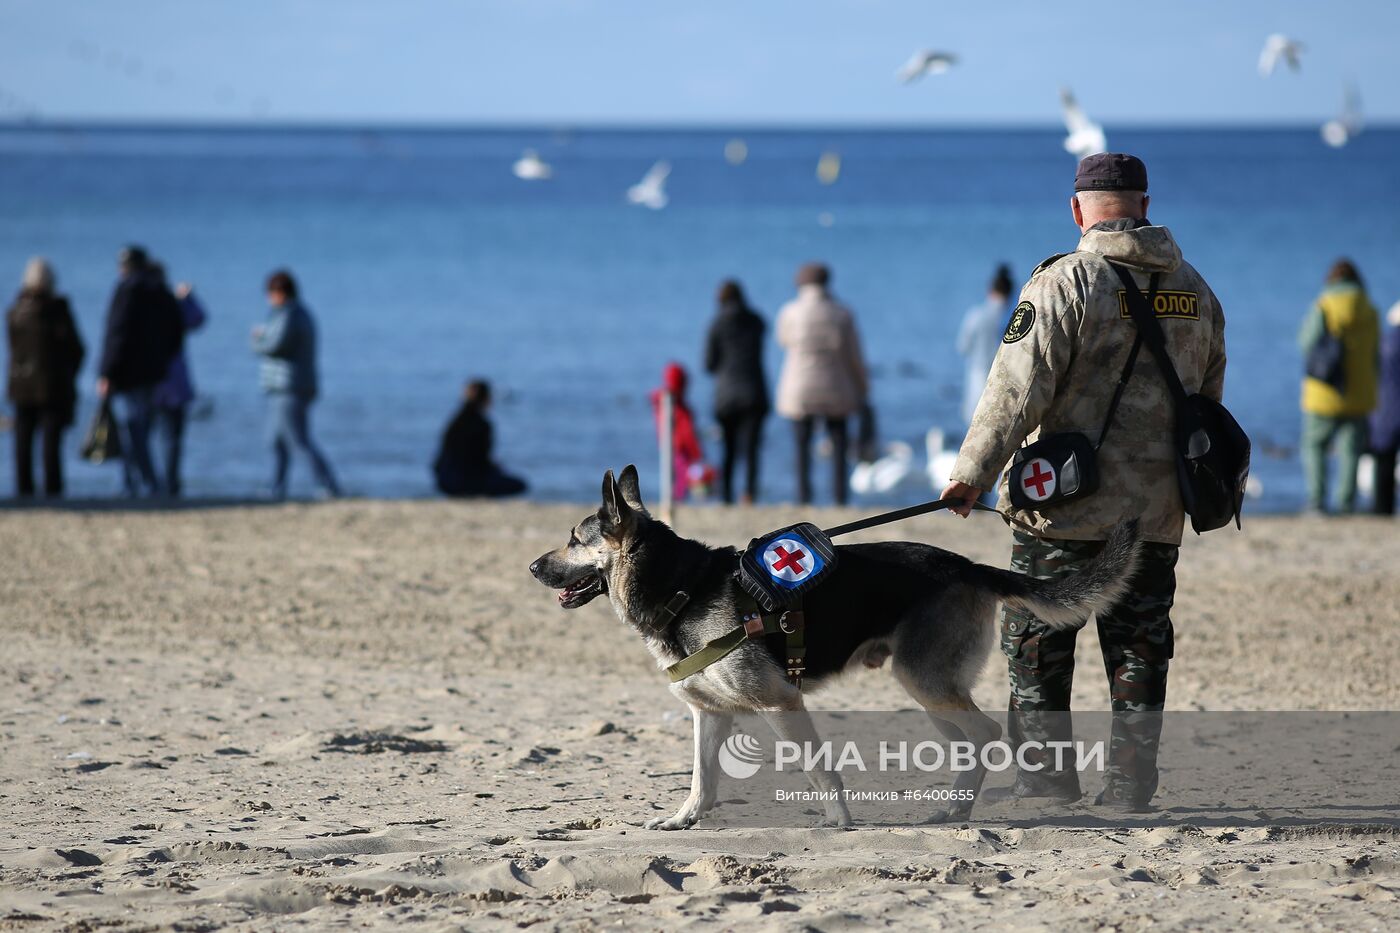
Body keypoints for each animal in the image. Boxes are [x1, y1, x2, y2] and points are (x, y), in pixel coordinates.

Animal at [526, 465, 1136, 829]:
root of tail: (965, 564)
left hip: (925, 683)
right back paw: (955, 807)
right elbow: (702, 778)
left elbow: (819, 769)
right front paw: (684, 819)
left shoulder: (781, 704)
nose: (532, 567)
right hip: (932, 694)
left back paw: (957, 808)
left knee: (985, 734)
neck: (681, 588)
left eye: (573, 540)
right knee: (971, 741)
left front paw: (838, 820)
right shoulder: (711, 714)